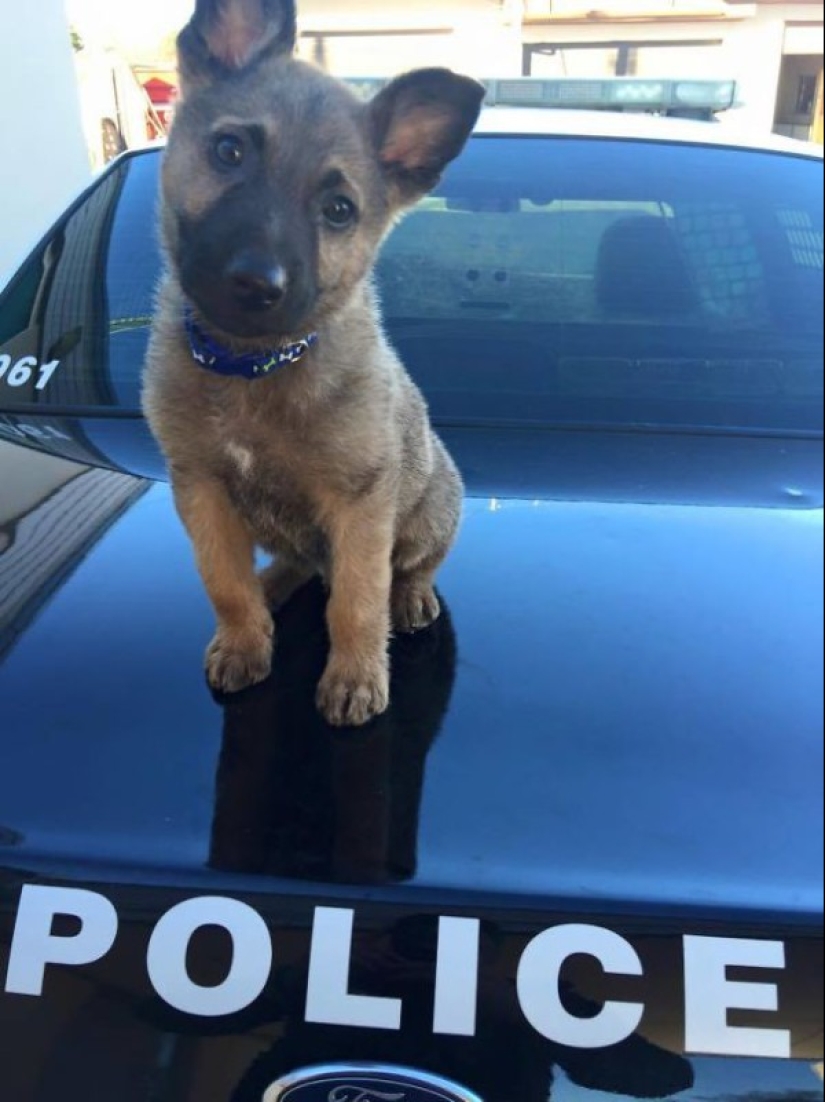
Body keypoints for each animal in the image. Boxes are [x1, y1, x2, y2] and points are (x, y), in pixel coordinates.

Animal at [142, 0, 482, 727]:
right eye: (229, 152)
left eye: (338, 212)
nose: (255, 283)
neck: (253, 366)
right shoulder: (201, 488)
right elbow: (224, 581)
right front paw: (245, 639)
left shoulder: (359, 504)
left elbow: (355, 601)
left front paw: (354, 677)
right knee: (300, 564)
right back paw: (274, 582)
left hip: (431, 507)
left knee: (410, 567)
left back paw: (410, 597)